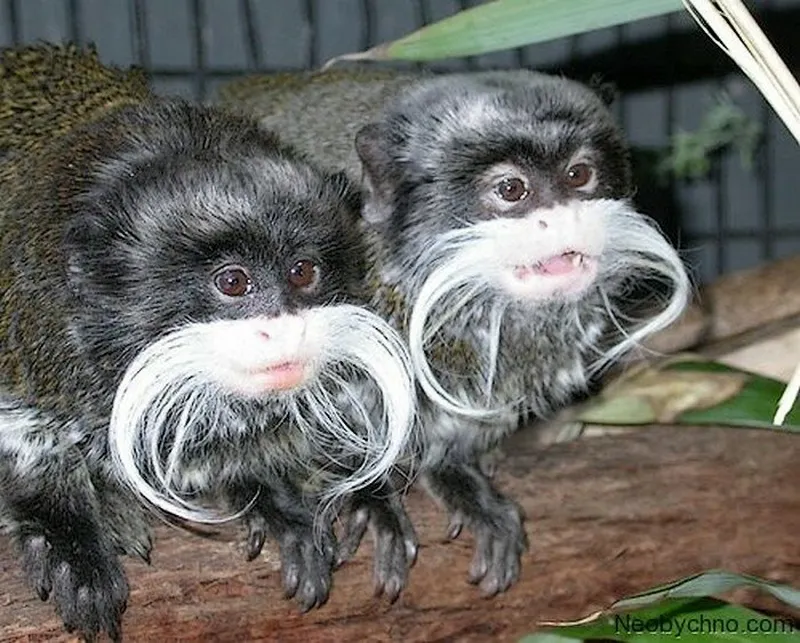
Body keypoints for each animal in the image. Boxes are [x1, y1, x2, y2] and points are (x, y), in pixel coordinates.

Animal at [1, 47, 418, 640]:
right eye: (233, 282)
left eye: (303, 271)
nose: (284, 328)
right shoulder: (37, 339)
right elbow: (26, 438)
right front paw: (69, 539)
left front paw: (268, 496)